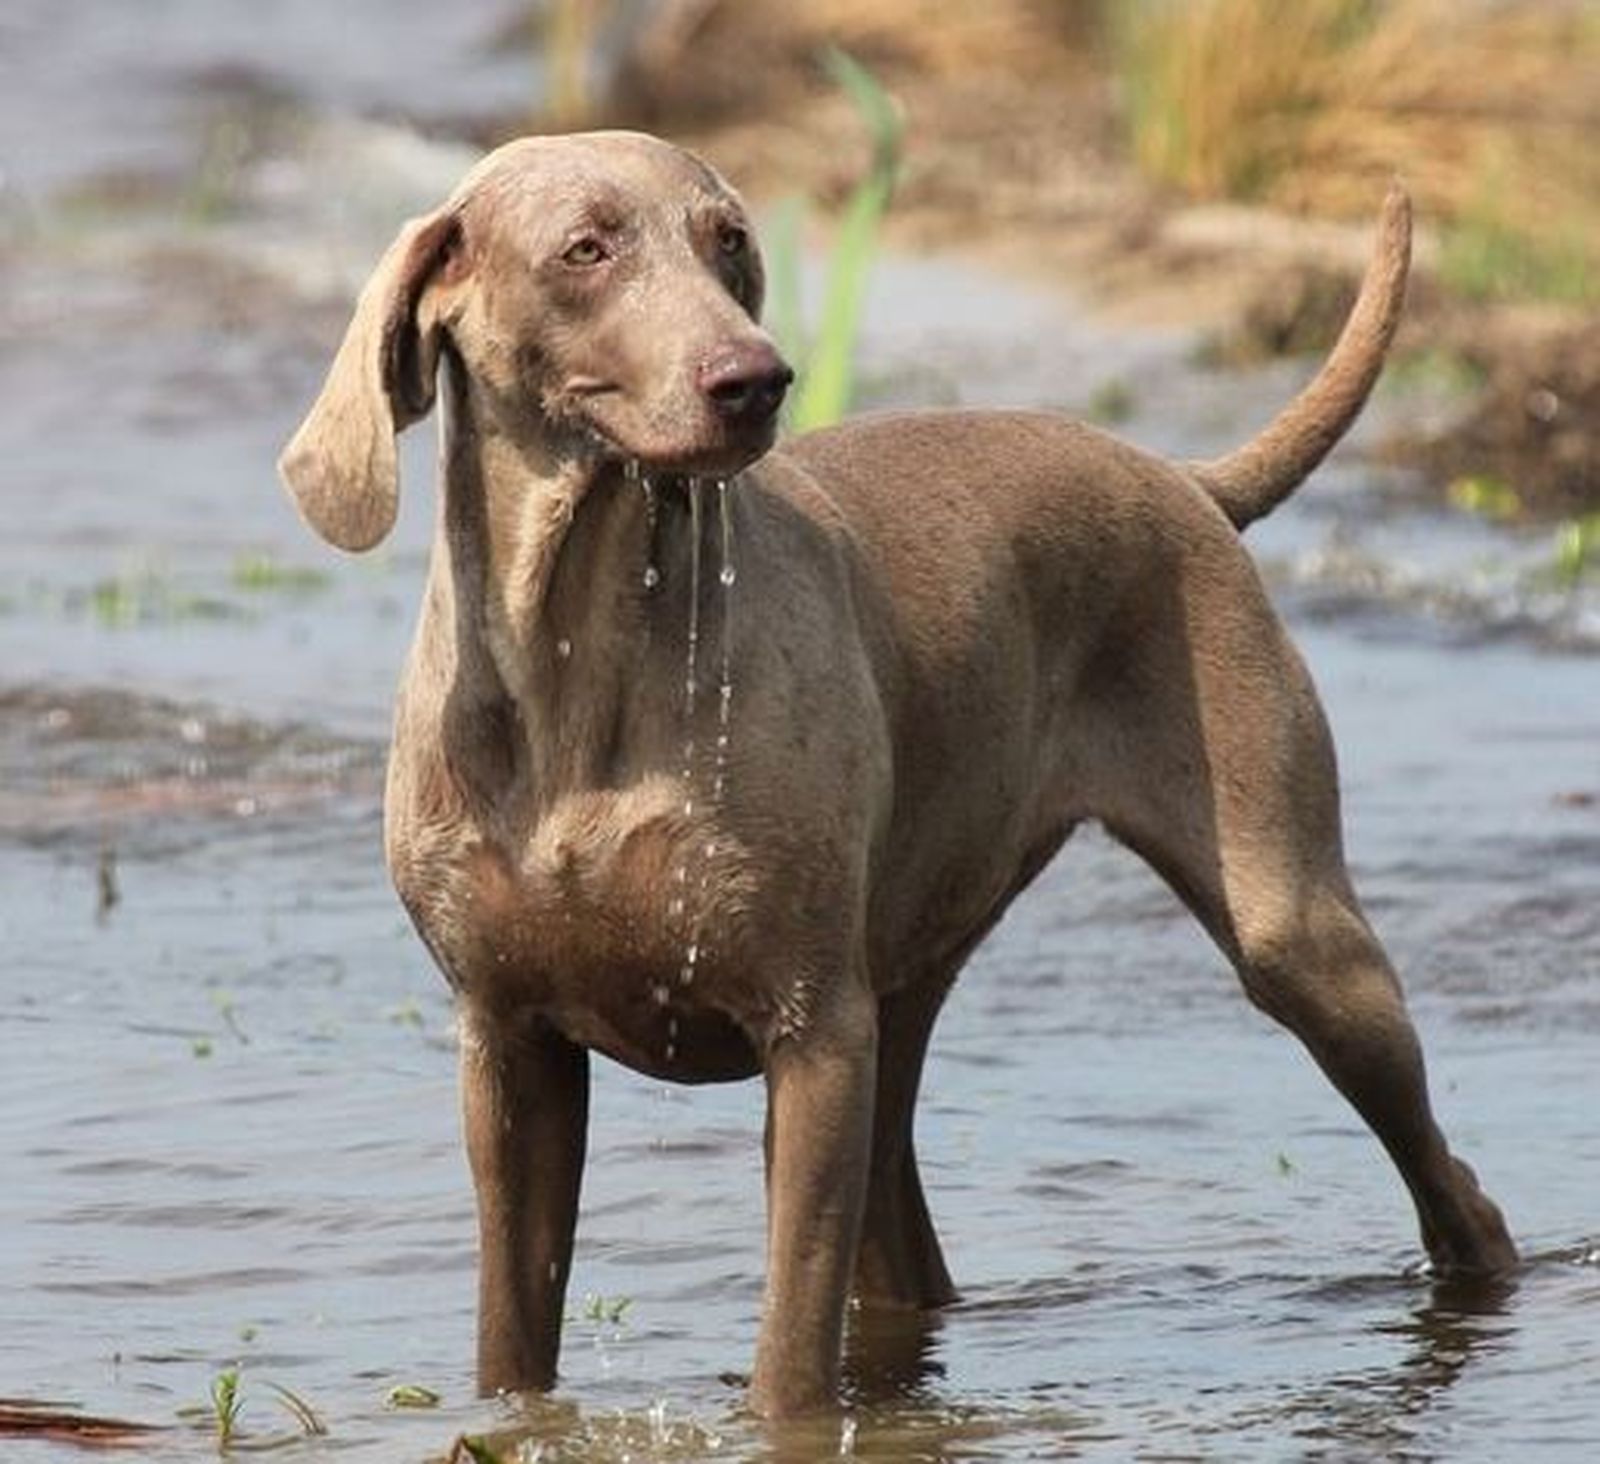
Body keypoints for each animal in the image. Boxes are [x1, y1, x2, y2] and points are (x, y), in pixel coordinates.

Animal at [281, 134, 1516, 1420]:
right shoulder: (509, 1046)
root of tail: (1179, 478)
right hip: (908, 984)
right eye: (585, 247)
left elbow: (788, 1353)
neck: (576, 652)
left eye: (729, 241)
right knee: (903, 1247)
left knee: (1453, 1186)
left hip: (1289, 933)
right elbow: (513, 1347)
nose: (755, 379)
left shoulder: (813, 1031)